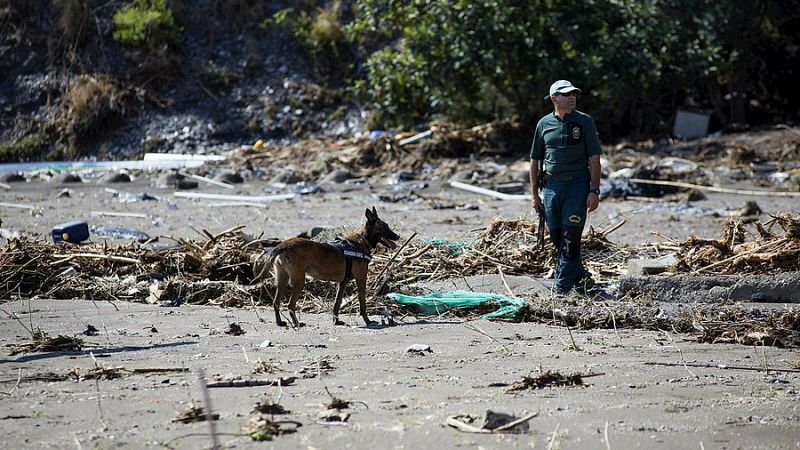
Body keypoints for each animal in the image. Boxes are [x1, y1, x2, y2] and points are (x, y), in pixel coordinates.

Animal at [255, 207, 398, 326]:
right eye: (383, 228)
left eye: (387, 226)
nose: (398, 236)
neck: (361, 242)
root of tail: (282, 245)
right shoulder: (361, 280)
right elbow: (362, 304)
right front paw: (368, 321)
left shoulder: (343, 283)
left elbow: (337, 303)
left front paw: (336, 321)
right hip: (299, 281)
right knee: (290, 305)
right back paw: (296, 323)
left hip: (282, 280)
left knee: (276, 302)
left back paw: (280, 322)